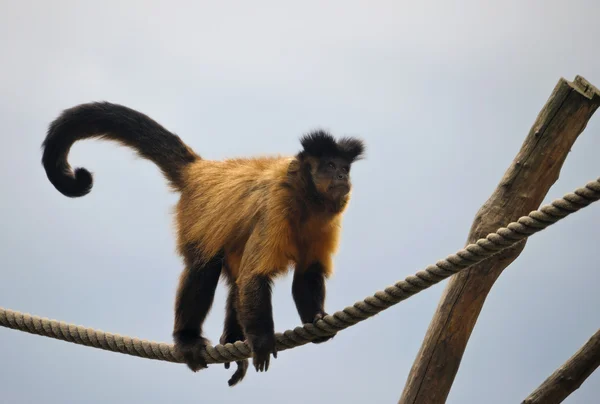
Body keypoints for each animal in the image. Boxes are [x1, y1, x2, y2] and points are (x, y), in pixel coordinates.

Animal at [41, 100, 366, 386]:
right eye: (329, 165)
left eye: (344, 168)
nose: (341, 175)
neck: (305, 202)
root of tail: (203, 170)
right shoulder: (276, 206)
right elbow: (254, 276)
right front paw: (262, 340)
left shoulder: (326, 221)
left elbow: (305, 275)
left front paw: (317, 320)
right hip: (196, 216)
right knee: (204, 268)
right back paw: (188, 339)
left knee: (234, 278)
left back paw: (233, 339)